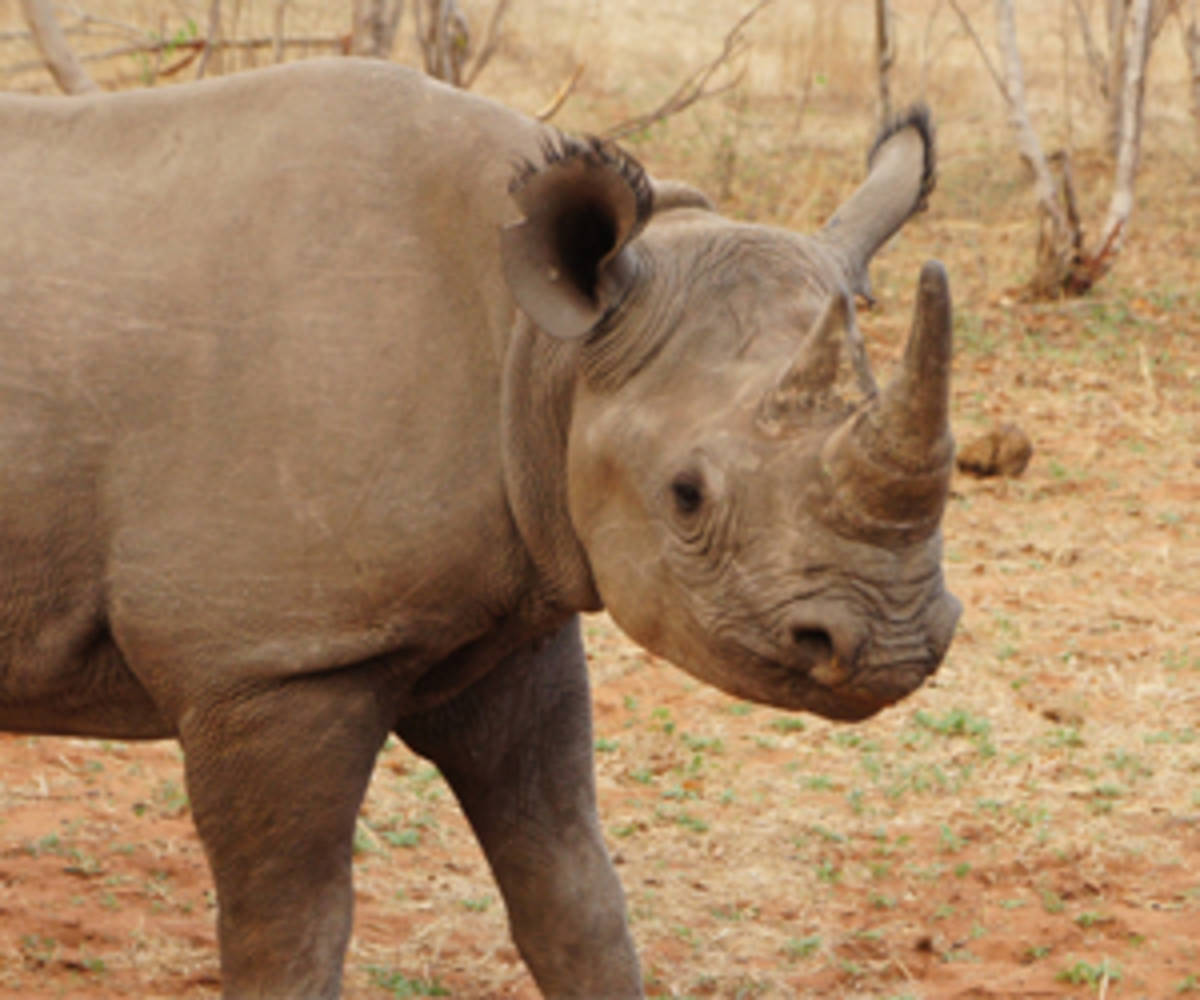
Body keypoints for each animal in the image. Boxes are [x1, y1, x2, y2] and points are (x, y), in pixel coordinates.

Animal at [0, 57, 960, 998]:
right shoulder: (273, 658)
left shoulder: (510, 613)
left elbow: (571, 889)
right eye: (686, 495)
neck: (544, 350)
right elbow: (292, 931)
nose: (895, 648)